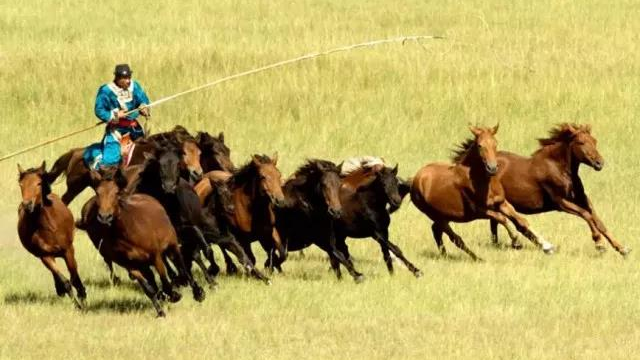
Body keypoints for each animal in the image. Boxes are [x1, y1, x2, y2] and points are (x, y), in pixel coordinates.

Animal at [16, 162, 86, 308]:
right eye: (21, 184)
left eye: (38, 183)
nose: (27, 205)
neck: (47, 227)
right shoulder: (45, 256)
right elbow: (65, 281)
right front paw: (77, 305)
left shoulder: (68, 250)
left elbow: (75, 277)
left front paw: (83, 300)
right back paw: (59, 290)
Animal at [81, 167, 204, 316]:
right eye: (98, 193)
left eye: (116, 193)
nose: (104, 217)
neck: (129, 234)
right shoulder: (131, 266)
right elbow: (148, 289)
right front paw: (161, 312)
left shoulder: (156, 256)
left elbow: (165, 281)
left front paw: (175, 295)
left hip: (172, 245)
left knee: (182, 266)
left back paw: (197, 292)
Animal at [410, 125, 556, 260]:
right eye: (480, 145)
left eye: (495, 143)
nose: (492, 168)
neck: (483, 183)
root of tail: (415, 180)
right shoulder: (479, 211)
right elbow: (501, 218)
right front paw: (516, 242)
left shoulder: (502, 203)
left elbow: (521, 220)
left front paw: (547, 246)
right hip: (435, 215)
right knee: (453, 237)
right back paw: (475, 258)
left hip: (444, 216)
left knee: (437, 230)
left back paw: (447, 255)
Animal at [490, 124, 632, 256]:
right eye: (581, 142)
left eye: (594, 141)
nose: (599, 163)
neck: (560, 169)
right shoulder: (561, 203)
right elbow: (586, 215)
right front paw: (599, 243)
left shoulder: (582, 199)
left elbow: (597, 220)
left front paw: (622, 249)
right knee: (509, 222)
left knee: (498, 222)